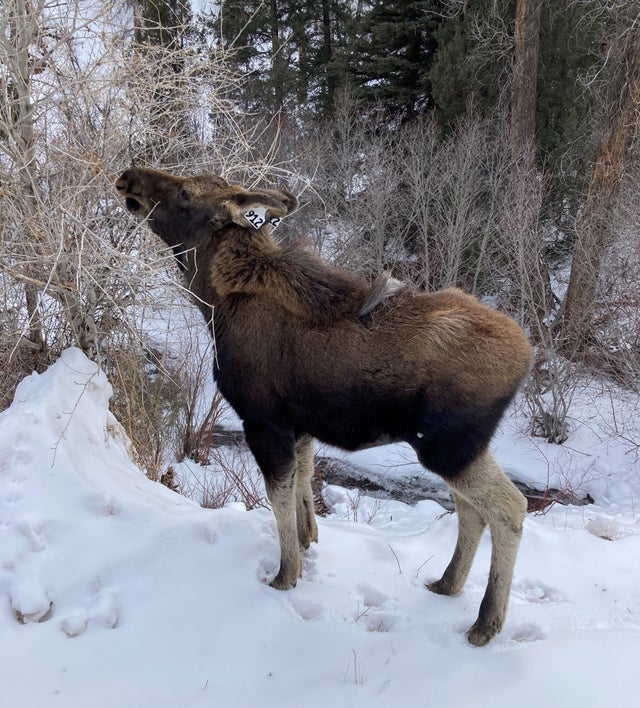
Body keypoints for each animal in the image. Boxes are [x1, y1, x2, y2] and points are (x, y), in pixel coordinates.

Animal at [115, 167, 532, 646]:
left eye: (185, 193)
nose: (128, 178)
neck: (214, 300)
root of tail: (527, 356)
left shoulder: (262, 419)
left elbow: (277, 496)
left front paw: (285, 575)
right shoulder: (300, 426)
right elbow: (303, 484)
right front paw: (307, 541)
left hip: (448, 446)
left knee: (510, 507)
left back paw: (486, 622)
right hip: (461, 448)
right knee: (471, 509)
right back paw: (448, 583)